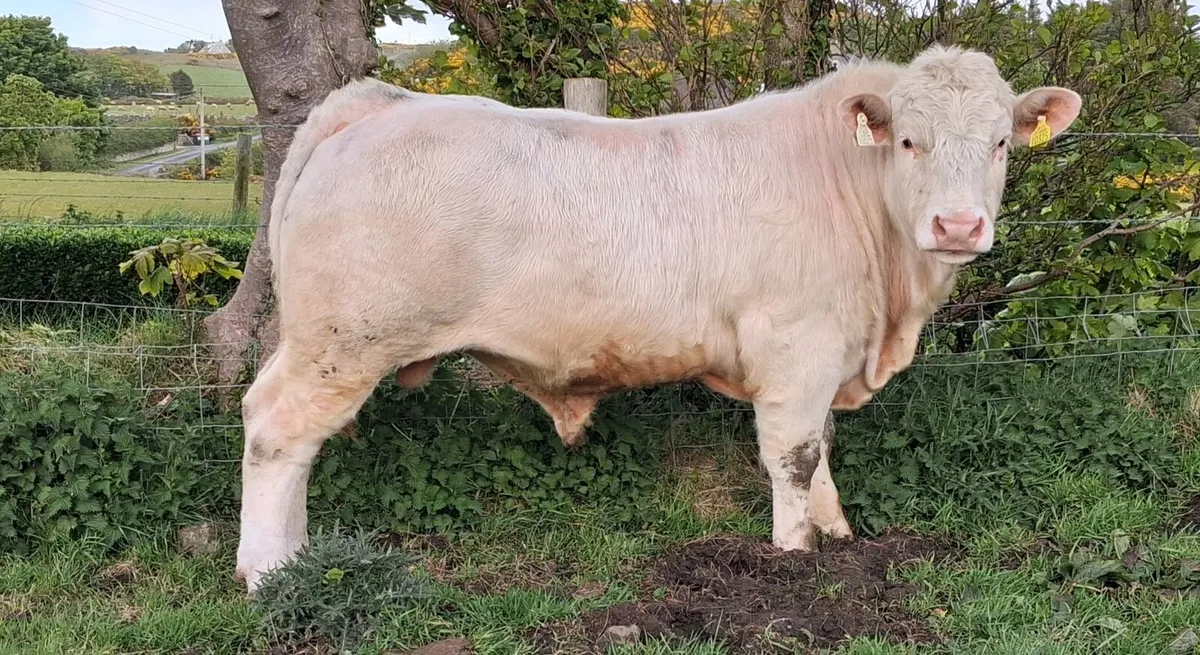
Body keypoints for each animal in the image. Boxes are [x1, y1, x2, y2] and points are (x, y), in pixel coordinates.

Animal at [234, 44, 1081, 592]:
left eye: (1001, 143)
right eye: (909, 140)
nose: (959, 225)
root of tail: (375, 103)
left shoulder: (827, 355)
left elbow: (822, 450)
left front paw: (840, 534)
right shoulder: (797, 347)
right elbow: (793, 455)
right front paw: (795, 554)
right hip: (343, 341)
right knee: (276, 430)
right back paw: (269, 571)